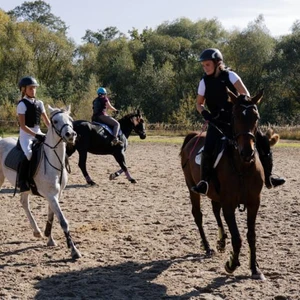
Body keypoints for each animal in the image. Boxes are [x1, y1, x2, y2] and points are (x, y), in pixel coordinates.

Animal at [0, 106, 81, 260]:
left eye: (71, 119)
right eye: (55, 121)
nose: (71, 135)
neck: (55, 162)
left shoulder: (57, 195)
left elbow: (52, 217)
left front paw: (49, 238)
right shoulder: (51, 195)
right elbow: (63, 221)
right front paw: (74, 251)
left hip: (24, 187)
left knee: (24, 203)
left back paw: (36, 231)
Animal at [179, 90, 278, 280]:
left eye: (256, 117)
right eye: (235, 116)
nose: (247, 152)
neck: (242, 166)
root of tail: (194, 136)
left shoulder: (254, 203)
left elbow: (251, 235)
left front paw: (255, 268)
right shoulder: (229, 204)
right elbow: (237, 237)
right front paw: (232, 264)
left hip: (215, 194)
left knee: (215, 211)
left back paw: (221, 241)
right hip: (192, 188)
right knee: (198, 215)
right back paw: (208, 246)